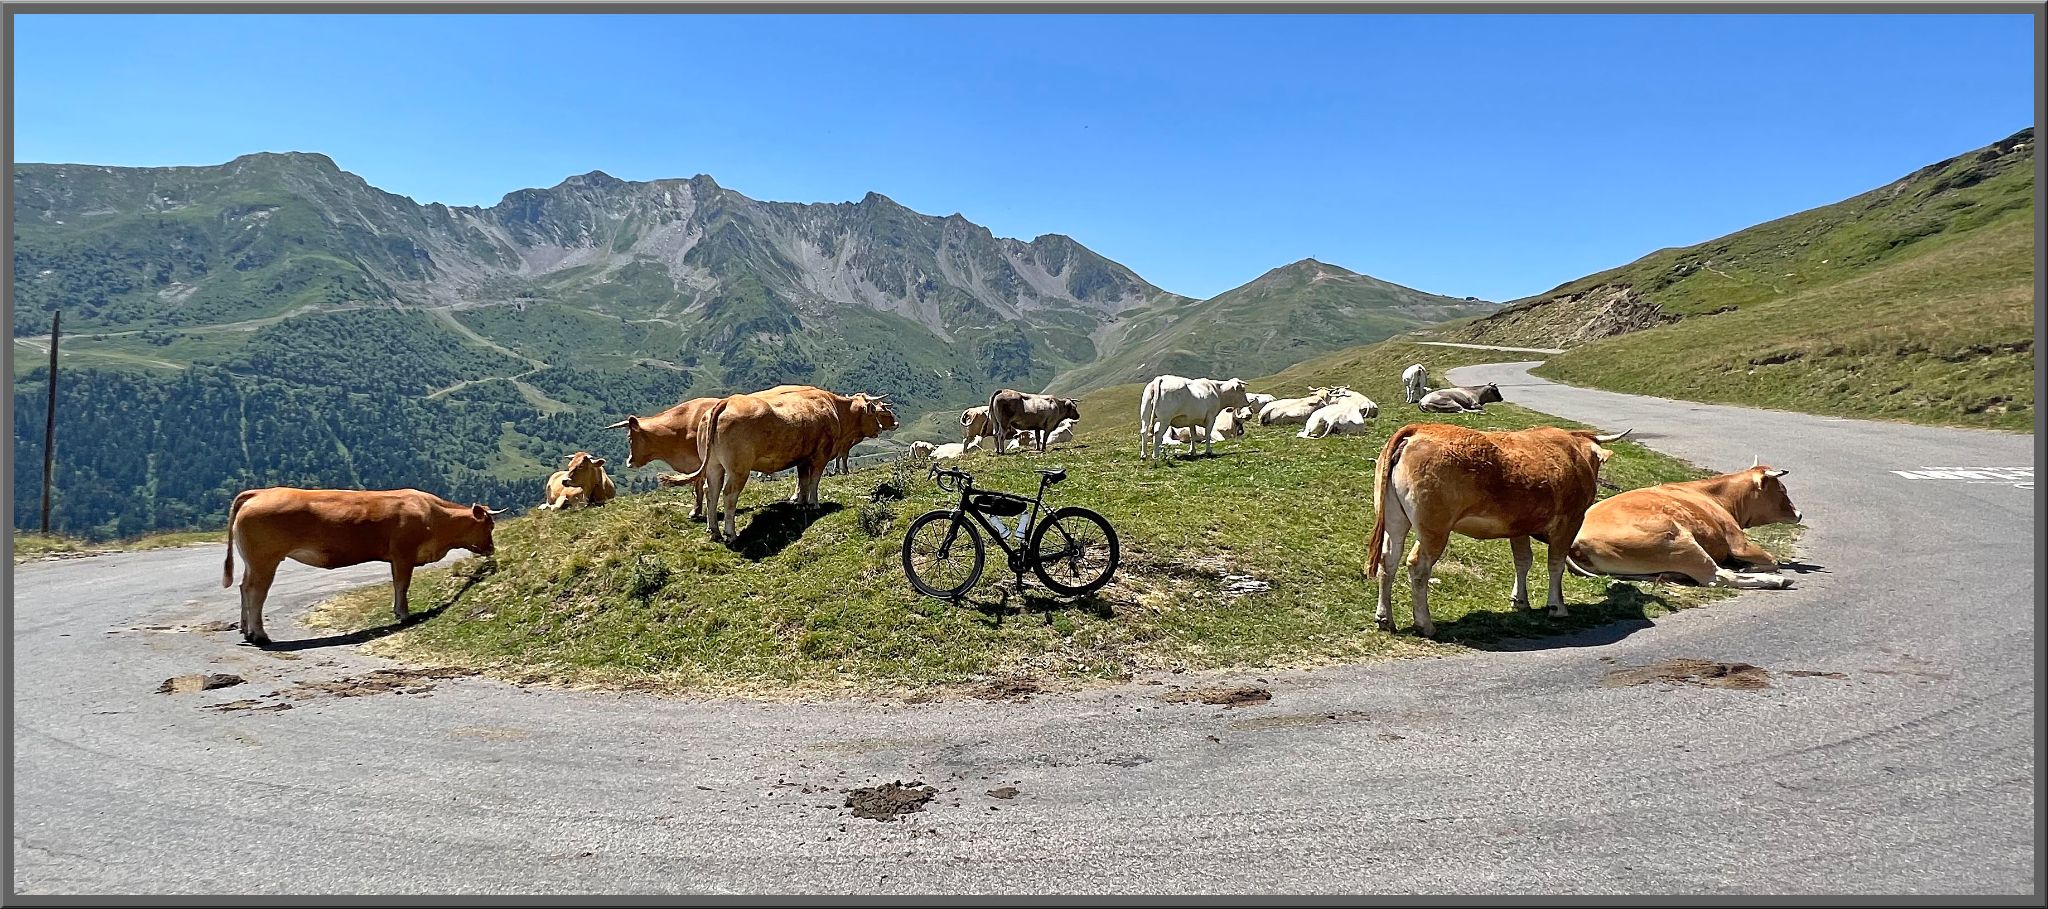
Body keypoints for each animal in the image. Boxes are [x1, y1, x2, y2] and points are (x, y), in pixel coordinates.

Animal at [223, 488, 502, 645]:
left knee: (243, 587)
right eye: (489, 525)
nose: (491, 549)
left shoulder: (395, 558)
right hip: (265, 560)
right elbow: (403, 584)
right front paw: (404, 614)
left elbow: (396, 584)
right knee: (256, 592)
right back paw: (260, 635)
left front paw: (397, 611)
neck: (434, 516)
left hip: (252, 562)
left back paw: (246, 630)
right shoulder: (404, 554)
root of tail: (259, 493)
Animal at [674, 388, 898, 541]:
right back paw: (730, 533)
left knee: (711, 491)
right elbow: (814, 481)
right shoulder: (821, 455)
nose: (880, 428)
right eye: (874, 411)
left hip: (714, 466)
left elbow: (803, 480)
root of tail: (727, 402)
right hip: (739, 469)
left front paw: (800, 501)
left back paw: (714, 531)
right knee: (728, 494)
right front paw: (814, 503)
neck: (834, 409)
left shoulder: (802, 458)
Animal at [1365, 424, 1631, 637]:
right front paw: (1557, 606)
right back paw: (1425, 624)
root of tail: (1418, 429)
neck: (1573, 453)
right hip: (1434, 529)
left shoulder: (1519, 527)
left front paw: (1520, 601)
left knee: (1388, 560)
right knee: (1418, 565)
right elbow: (1555, 564)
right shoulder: (1569, 522)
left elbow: (1523, 561)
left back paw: (1384, 618)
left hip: (1394, 520)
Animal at [1568, 459, 1802, 589]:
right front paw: (1751, 566)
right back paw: (1777, 581)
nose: (1799, 514)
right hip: (1681, 542)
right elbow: (1773, 560)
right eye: (1782, 490)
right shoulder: (1738, 543)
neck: (1715, 495)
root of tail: (1577, 540)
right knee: (1719, 577)